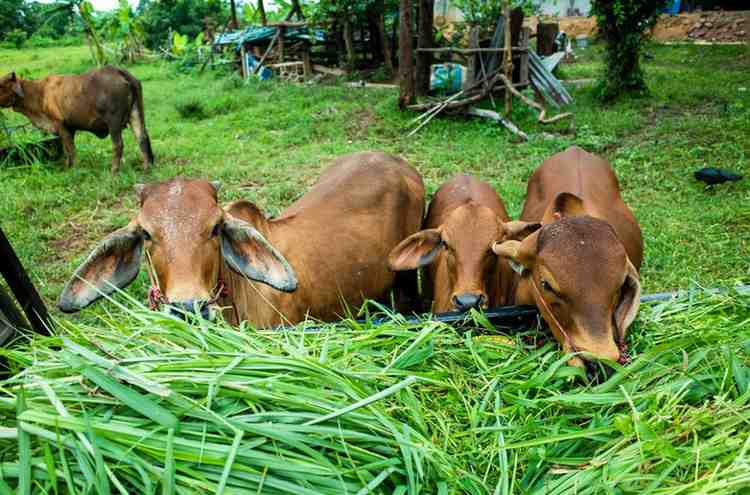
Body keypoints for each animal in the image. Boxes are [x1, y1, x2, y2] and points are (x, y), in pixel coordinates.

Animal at [0, 66, 153, 174]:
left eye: (1, 86)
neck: (39, 93)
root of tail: (119, 71)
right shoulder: (69, 128)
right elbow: (67, 149)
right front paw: (68, 166)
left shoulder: (60, 124)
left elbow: (70, 149)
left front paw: (74, 169)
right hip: (136, 113)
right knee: (142, 137)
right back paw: (147, 167)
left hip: (113, 121)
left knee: (118, 145)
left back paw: (114, 170)